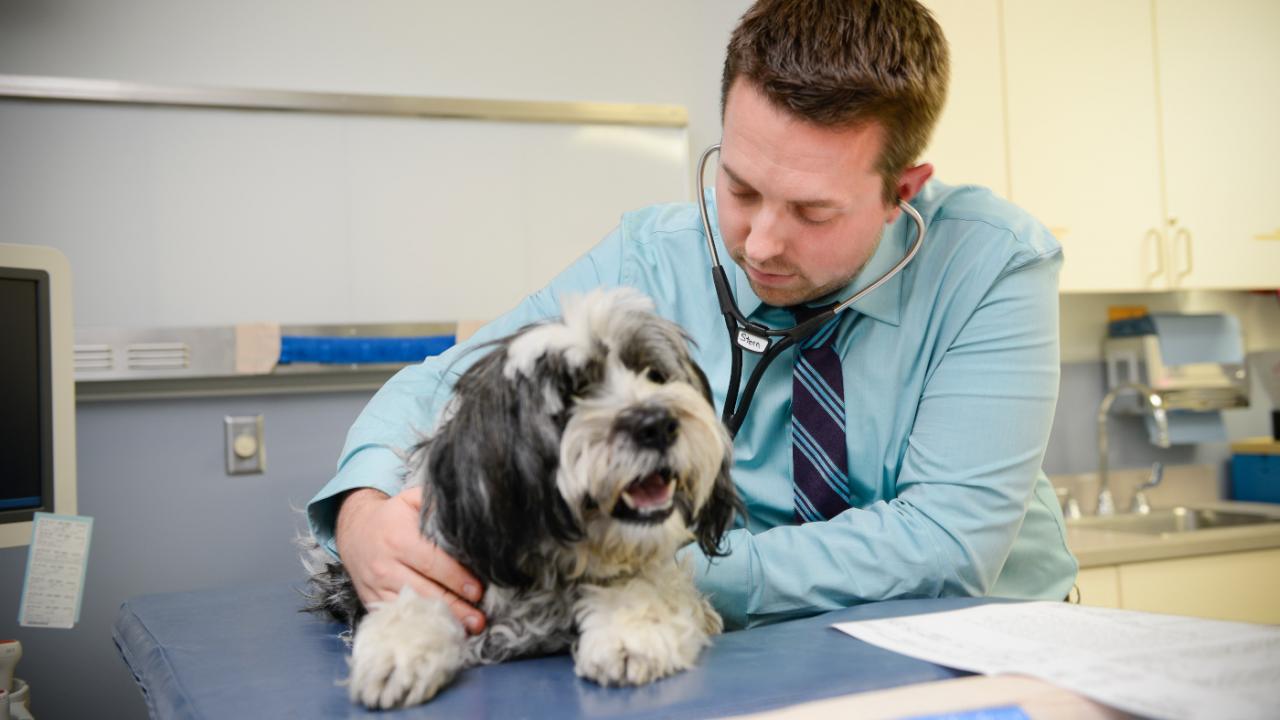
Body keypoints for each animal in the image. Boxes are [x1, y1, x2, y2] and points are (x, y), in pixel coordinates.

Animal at [302, 286, 742, 707]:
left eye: (654, 374)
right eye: (572, 394)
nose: (658, 424)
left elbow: (650, 582)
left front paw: (631, 634)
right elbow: (417, 599)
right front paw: (398, 649)